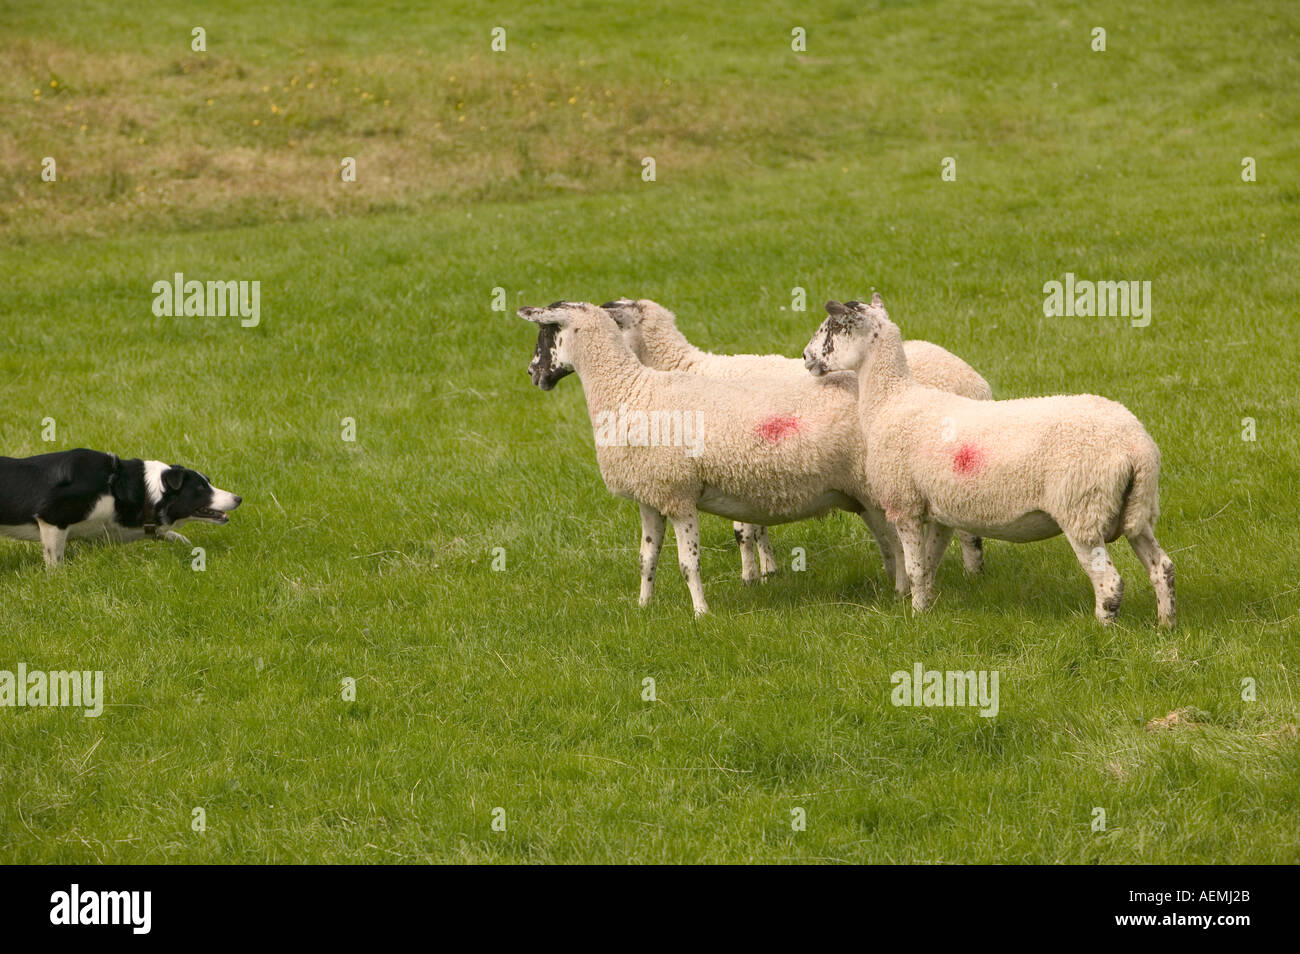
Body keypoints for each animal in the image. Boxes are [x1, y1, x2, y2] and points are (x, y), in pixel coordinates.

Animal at [0, 449, 241, 566]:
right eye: (201, 488)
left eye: (208, 482)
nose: (238, 498)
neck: (116, 486)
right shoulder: (52, 518)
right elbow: (54, 560)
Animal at [517, 306, 904, 621]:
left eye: (546, 332)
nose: (532, 372)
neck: (628, 389)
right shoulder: (649, 495)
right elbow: (647, 558)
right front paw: (644, 605)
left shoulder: (678, 495)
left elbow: (688, 563)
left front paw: (701, 613)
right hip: (859, 492)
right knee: (888, 539)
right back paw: (893, 584)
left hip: (874, 484)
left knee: (897, 538)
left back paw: (902, 590)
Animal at [600, 297, 993, 582]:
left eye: (615, 323)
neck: (683, 366)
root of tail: (977, 382)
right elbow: (755, 525)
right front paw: (767, 569)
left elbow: (743, 530)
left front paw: (751, 575)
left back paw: (971, 573)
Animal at [800, 298, 1180, 629]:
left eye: (832, 328)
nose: (805, 357)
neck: (892, 400)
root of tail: (1138, 447)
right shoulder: (939, 509)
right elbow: (929, 564)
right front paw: (928, 609)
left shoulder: (904, 503)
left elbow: (914, 568)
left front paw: (915, 615)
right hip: (1137, 509)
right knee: (1162, 567)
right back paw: (1166, 624)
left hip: (1083, 510)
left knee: (1110, 582)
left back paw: (1103, 631)